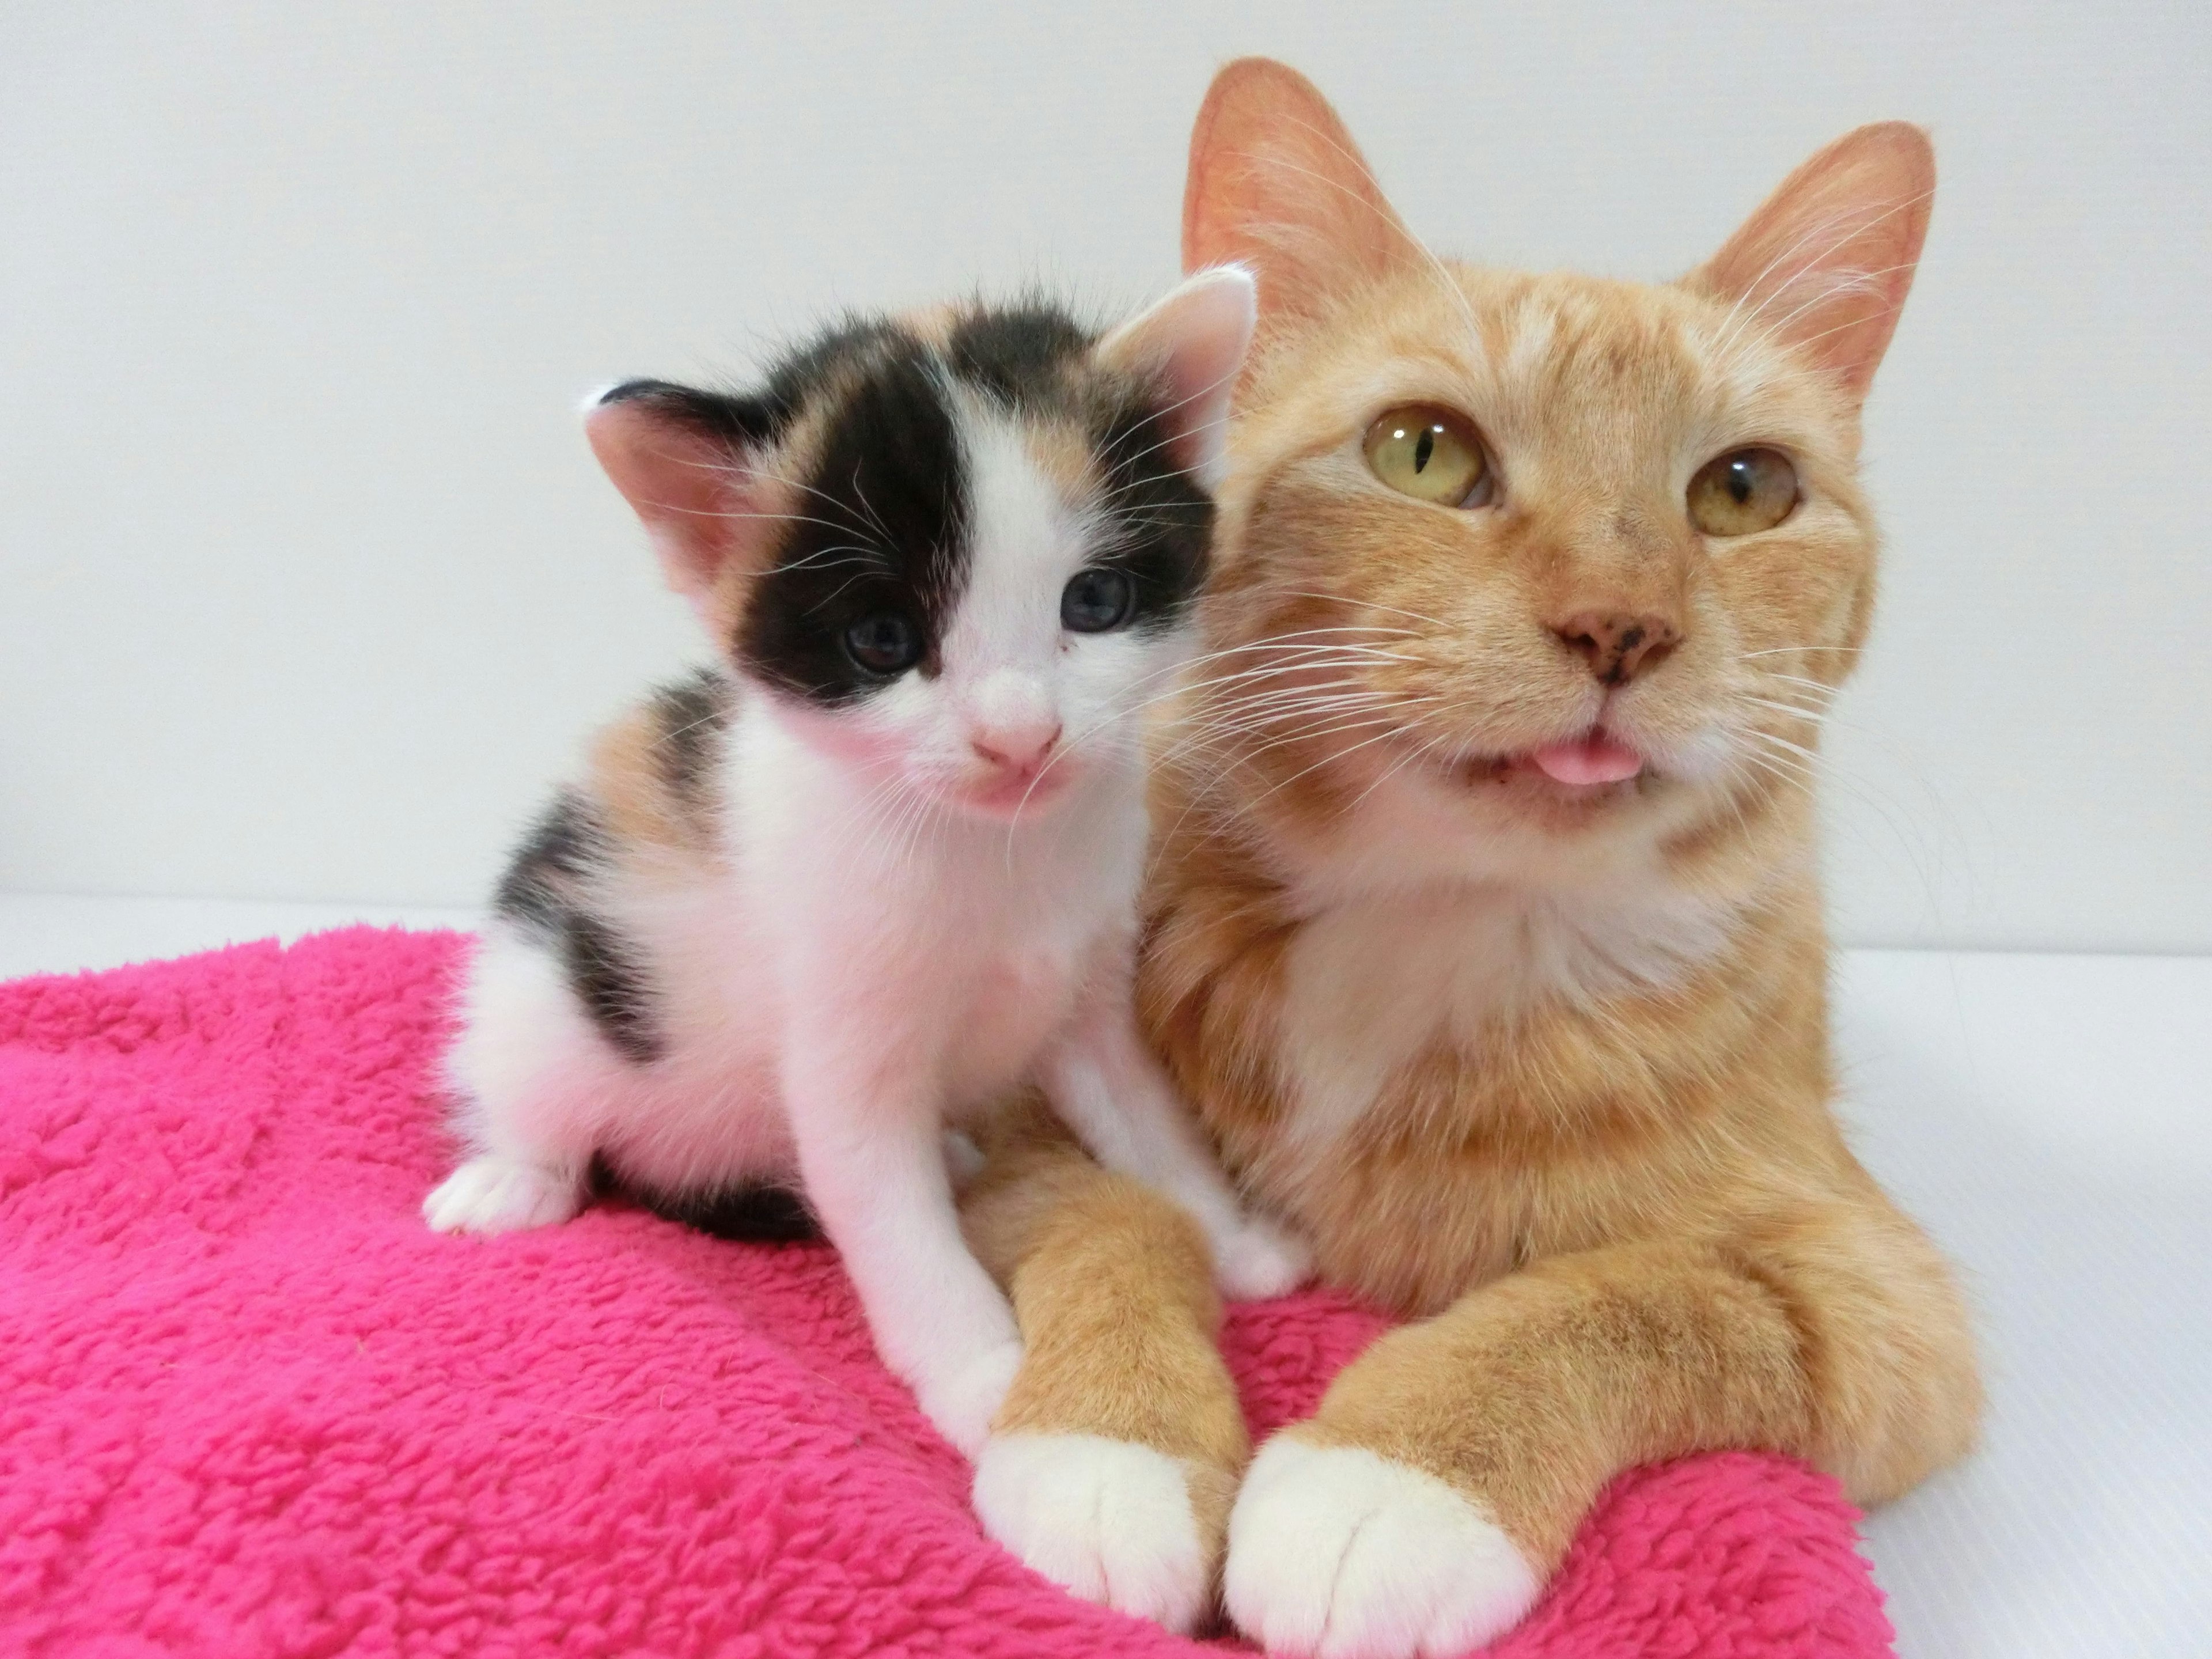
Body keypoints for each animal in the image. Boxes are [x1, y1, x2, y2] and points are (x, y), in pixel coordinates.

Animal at [422, 270, 1300, 1451]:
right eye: (882, 643)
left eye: (1095, 601)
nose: (1019, 737)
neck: (992, 854)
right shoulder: (843, 1039)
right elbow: (893, 1223)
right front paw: (985, 1380)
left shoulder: (1090, 985)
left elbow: (1144, 1115)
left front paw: (1233, 1236)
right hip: (538, 987)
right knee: (532, 1091)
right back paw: (511, 1178)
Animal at [960, 58, 1982, 1654]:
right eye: (1424, 451)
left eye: (1744, 488)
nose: (1621, 625)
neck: (1431, 920)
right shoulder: (1025, 1136)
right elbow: (1118, 1213)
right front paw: (1108, 1440)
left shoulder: (1884, 1301)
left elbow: (1641, 1295)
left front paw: (1392, 1481)